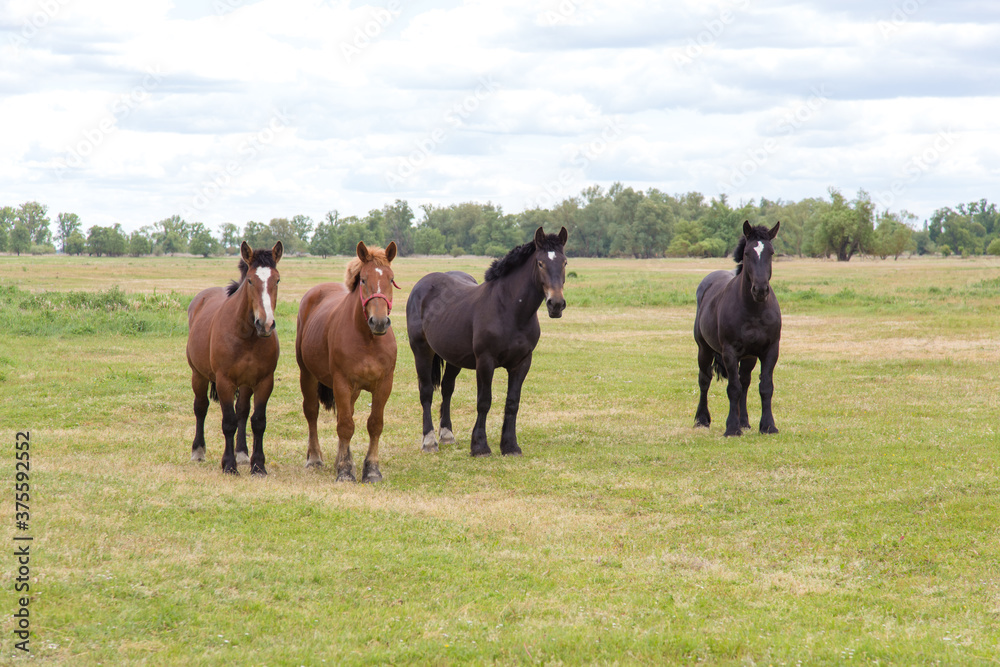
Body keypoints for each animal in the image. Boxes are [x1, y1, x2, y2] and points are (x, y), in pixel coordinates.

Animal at [187, 241, 283, 475]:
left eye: (277, 280)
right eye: (250, 280)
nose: (265, 324)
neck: (246, 335)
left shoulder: (264, 381)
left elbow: (257, 421)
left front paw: (258, 465)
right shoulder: (224, 382)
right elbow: (228, 422)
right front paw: (229, 465)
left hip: (246, 384)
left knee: (242, 411)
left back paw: (242, 453)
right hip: (198, 375)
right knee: (200, 407)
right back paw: (198, 451)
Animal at [295, 241, 398, 483]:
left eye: (391, 279)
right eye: (363, 280)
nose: (379, 322)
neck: (368, 339)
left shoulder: (384, 385)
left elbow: (374, 424)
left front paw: (371, 469)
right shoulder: (341, 383)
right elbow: (345, 426)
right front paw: (344, 471)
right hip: (307, 375)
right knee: (312, 412)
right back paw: (315, 458)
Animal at [407, 226, 568, 457]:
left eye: (564, 262)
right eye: (540, 263)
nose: (556, 304)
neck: (509, 310)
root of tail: (422, 284)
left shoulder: (522, 363)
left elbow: (512, 402)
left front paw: (510, 446)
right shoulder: (485, 362)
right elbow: (484, 401)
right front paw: (480, 446)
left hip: (454, 357)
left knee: (447, 389)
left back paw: (447, 435)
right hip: (421, 350)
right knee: (426, 391)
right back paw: (429, 441)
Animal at [694, 220, 781, 436]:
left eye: (771, 252)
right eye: (748, 253)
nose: (760, 290)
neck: (754, 310)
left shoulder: (770, 351)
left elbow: (765, 387)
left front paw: (768, 426)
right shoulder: (729, 352)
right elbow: (733, 388)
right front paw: (732, 428)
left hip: (749, 357)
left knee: (745, 382)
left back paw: (744, 422)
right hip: (704, 349)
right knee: (704, 380)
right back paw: (701, 419)